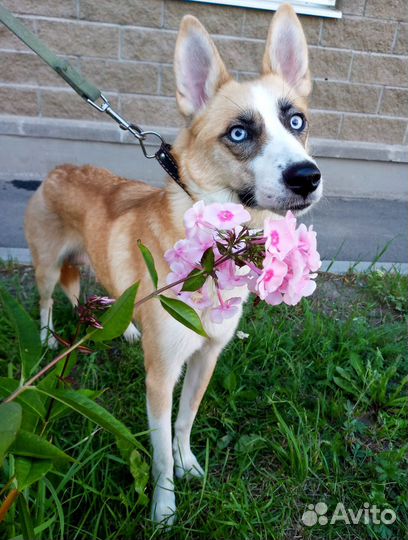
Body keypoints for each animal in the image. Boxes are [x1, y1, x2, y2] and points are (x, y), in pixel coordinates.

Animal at [24, 4, 322, 524]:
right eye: (239, 133)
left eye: (297, 121)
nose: (307, 176)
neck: (213, 257)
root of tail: (57, 170)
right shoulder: (160, 376)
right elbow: (159, 448)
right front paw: (164, 508)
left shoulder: (206, 357)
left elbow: (184, 423)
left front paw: (189, 465)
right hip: (45, 266)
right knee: (45, 300)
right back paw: (46, 339)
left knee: (98, 300)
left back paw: (122, 329)